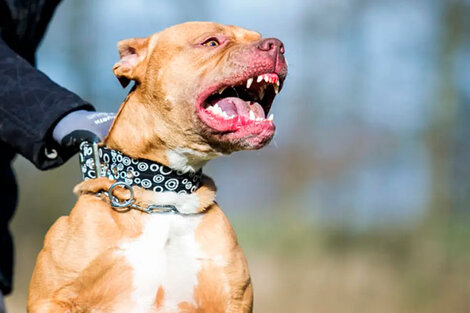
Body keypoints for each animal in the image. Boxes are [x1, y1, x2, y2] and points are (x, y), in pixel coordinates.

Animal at [28, 22, 286, 312]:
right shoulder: (52, 298)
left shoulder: (232, 299)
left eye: (258, 37)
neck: (166, 194)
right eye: (211, 42)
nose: (276, 45)